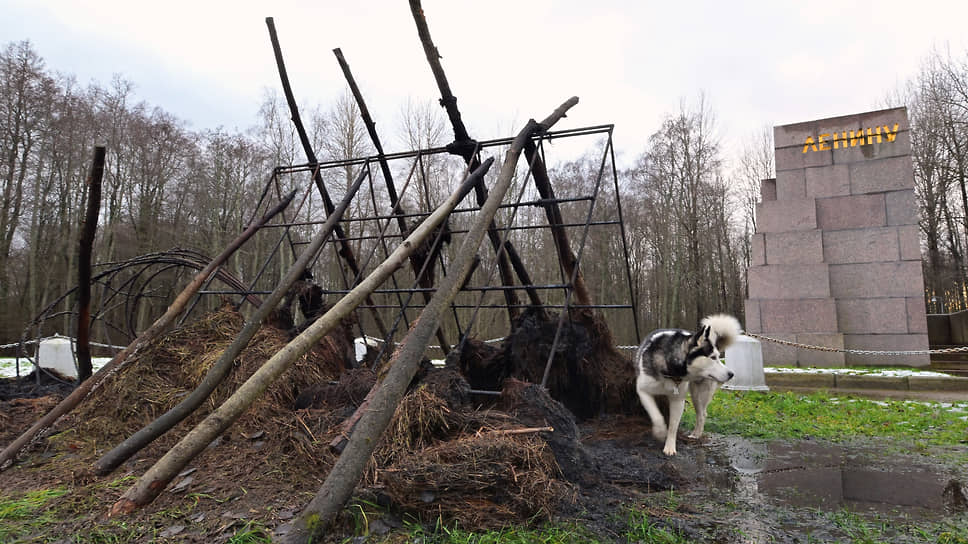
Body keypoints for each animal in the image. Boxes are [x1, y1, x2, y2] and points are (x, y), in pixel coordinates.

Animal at [636, 312, 740, 456]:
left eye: (719, 357)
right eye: (713, 357)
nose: (731, 374)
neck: (671, 371)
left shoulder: (678, 400)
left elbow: (673, 425)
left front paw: (670, 446)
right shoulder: (642, 391)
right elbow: (656, 416)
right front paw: (660, 432)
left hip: (698, 394)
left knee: (702, 414)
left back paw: (696, 434)